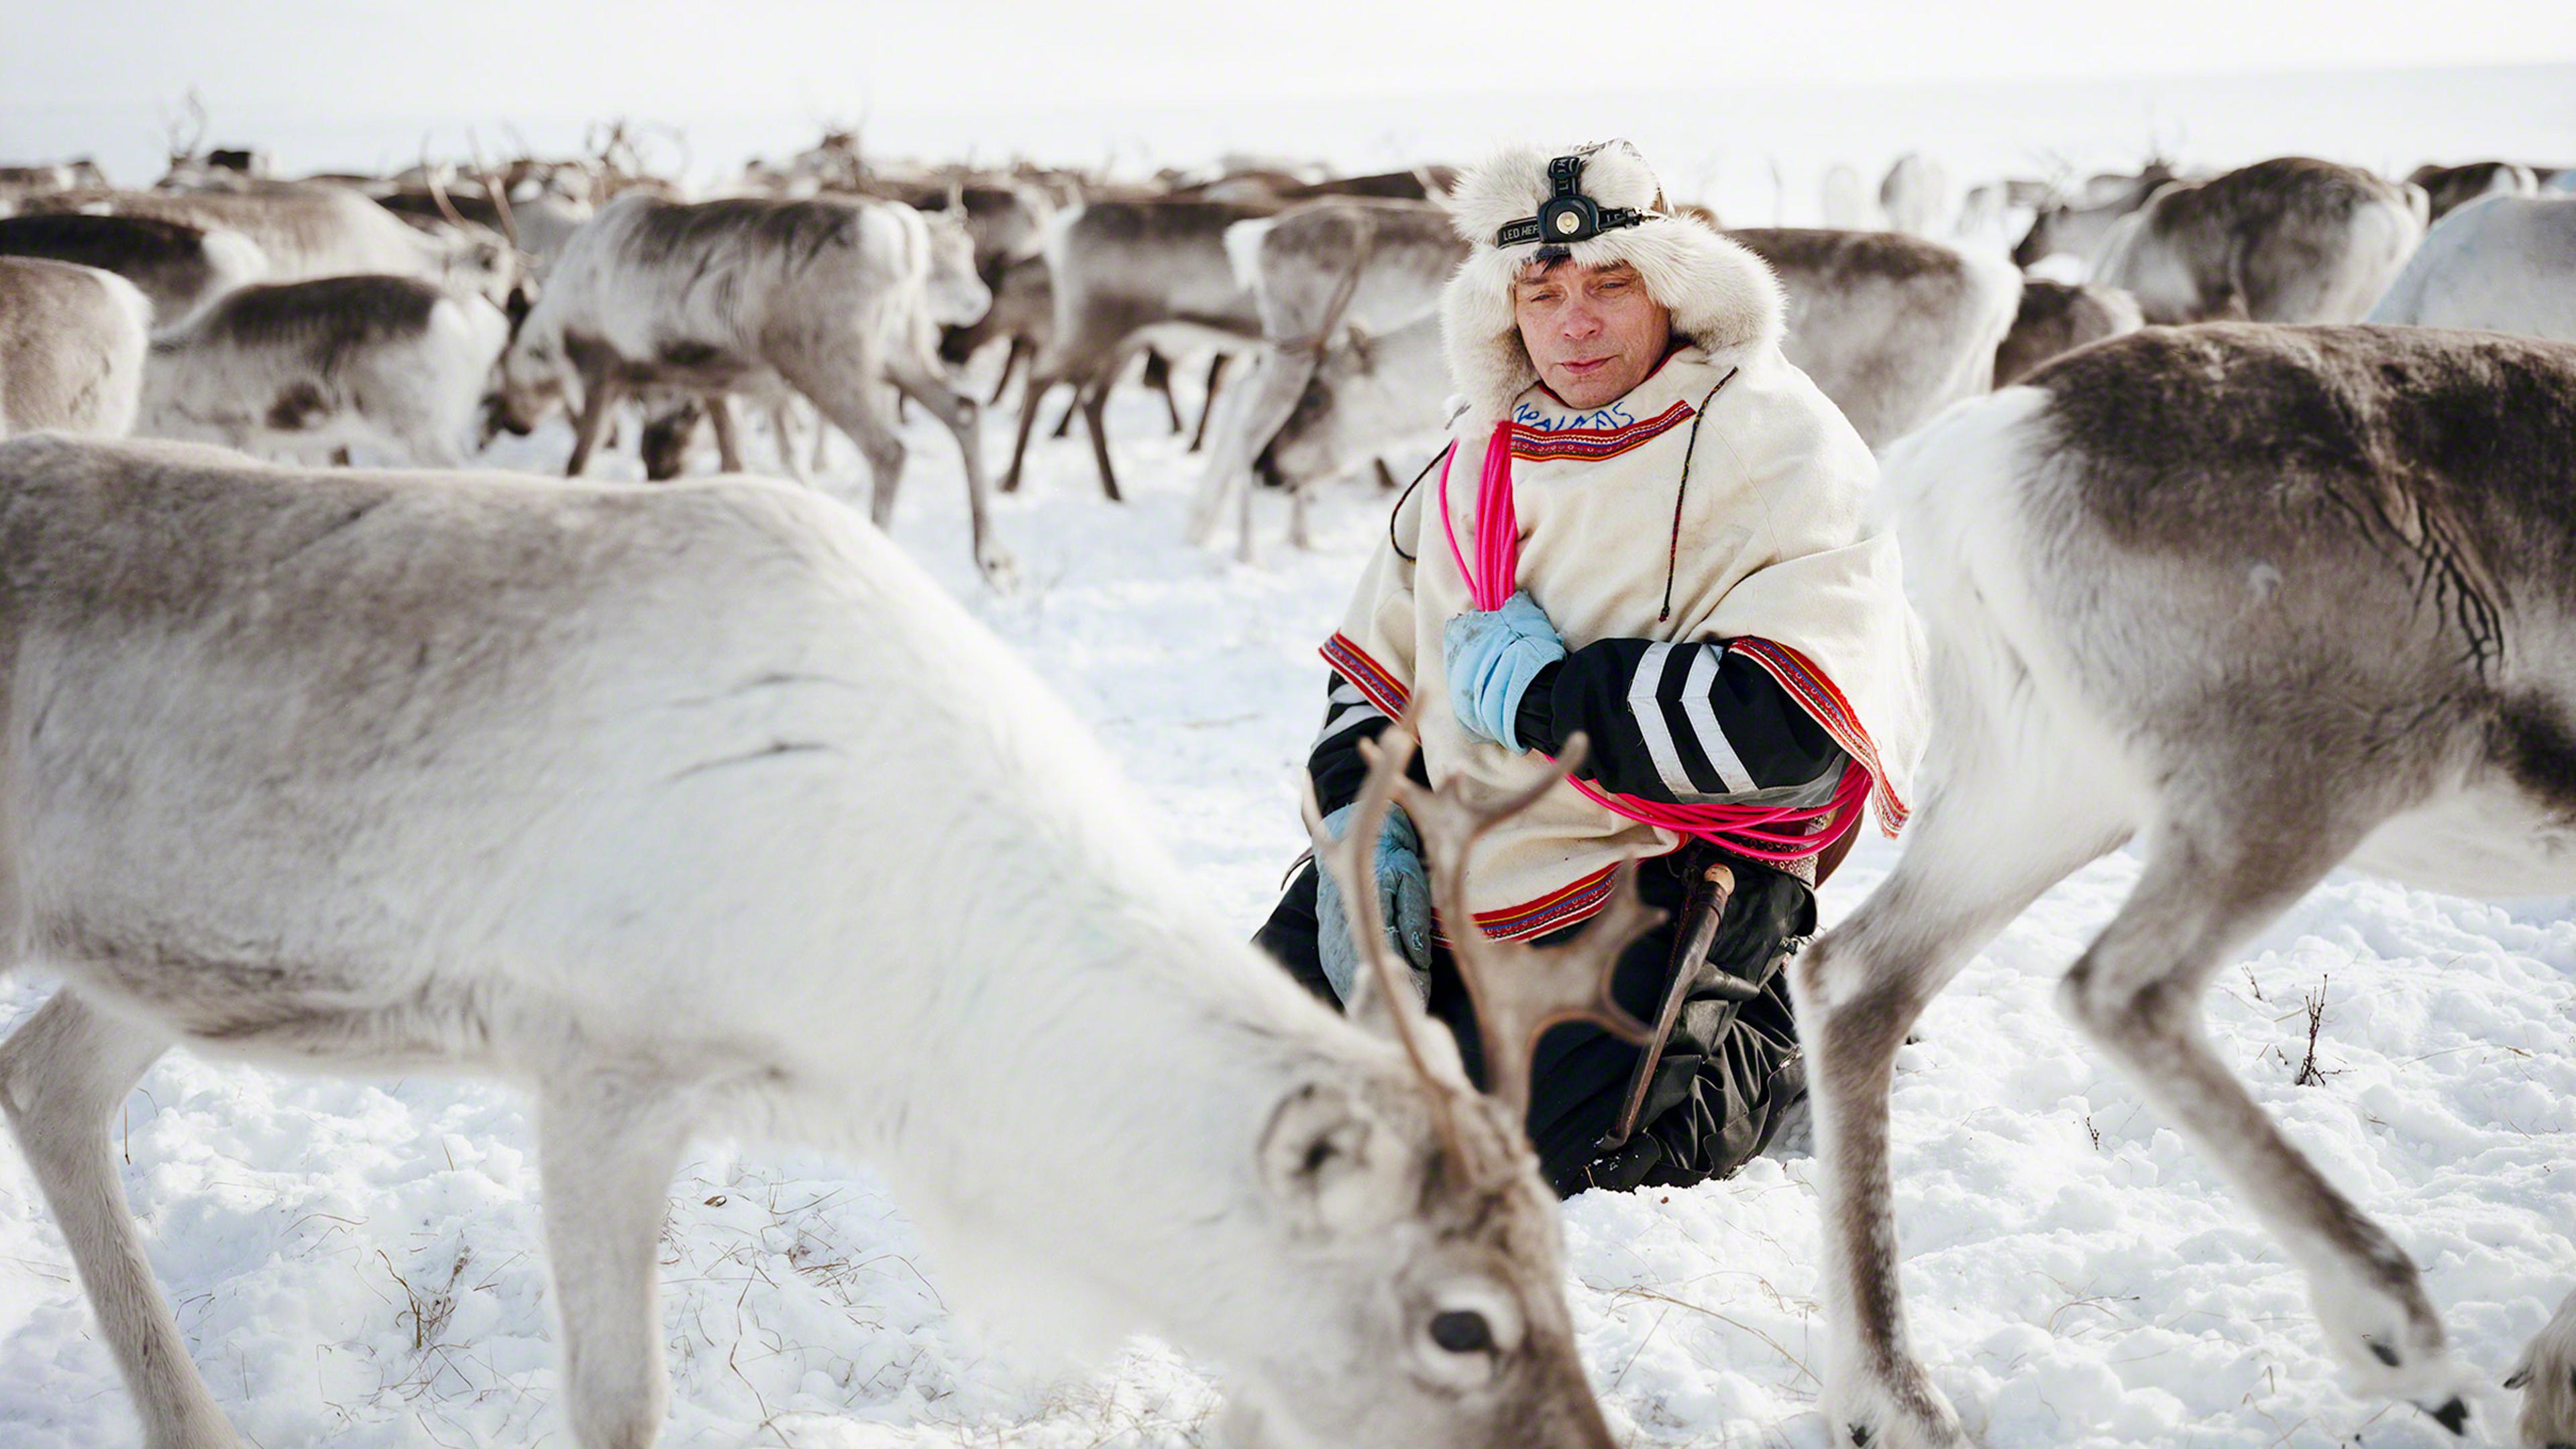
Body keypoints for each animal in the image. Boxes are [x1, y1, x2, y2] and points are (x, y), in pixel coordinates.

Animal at [0, 430, 1656, 1449]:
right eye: (1461, 1325)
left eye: (1565, 1264)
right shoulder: (603, 1066)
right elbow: (621, 1404)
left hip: (158, 949)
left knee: (46, 1078)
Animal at [1786, 322, 2576, 1449]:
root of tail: (1987, 444)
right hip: (2293, 788)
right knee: (2124, 988)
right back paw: (2399, 1338)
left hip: (2045, 790)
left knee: (1857, 980)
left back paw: (1896, 1401)